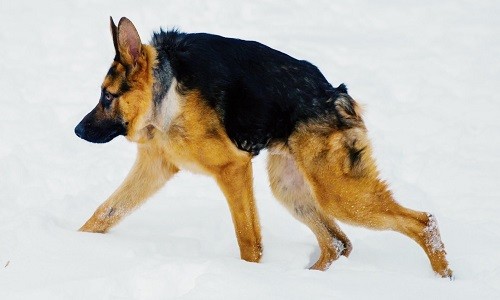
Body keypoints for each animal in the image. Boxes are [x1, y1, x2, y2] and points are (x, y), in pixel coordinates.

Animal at [74, 16, 454, 278]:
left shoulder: (233, 169)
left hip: (339, 194)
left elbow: (248, 240)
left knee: (423, 223)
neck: (165, 90)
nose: (77, 130)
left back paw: (442, 277)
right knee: (337, 243)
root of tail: (337, 95)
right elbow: (104, 213)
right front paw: (74, 244)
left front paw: (249, 278)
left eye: (107, 96)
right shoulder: (155, 167)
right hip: (290, 188)